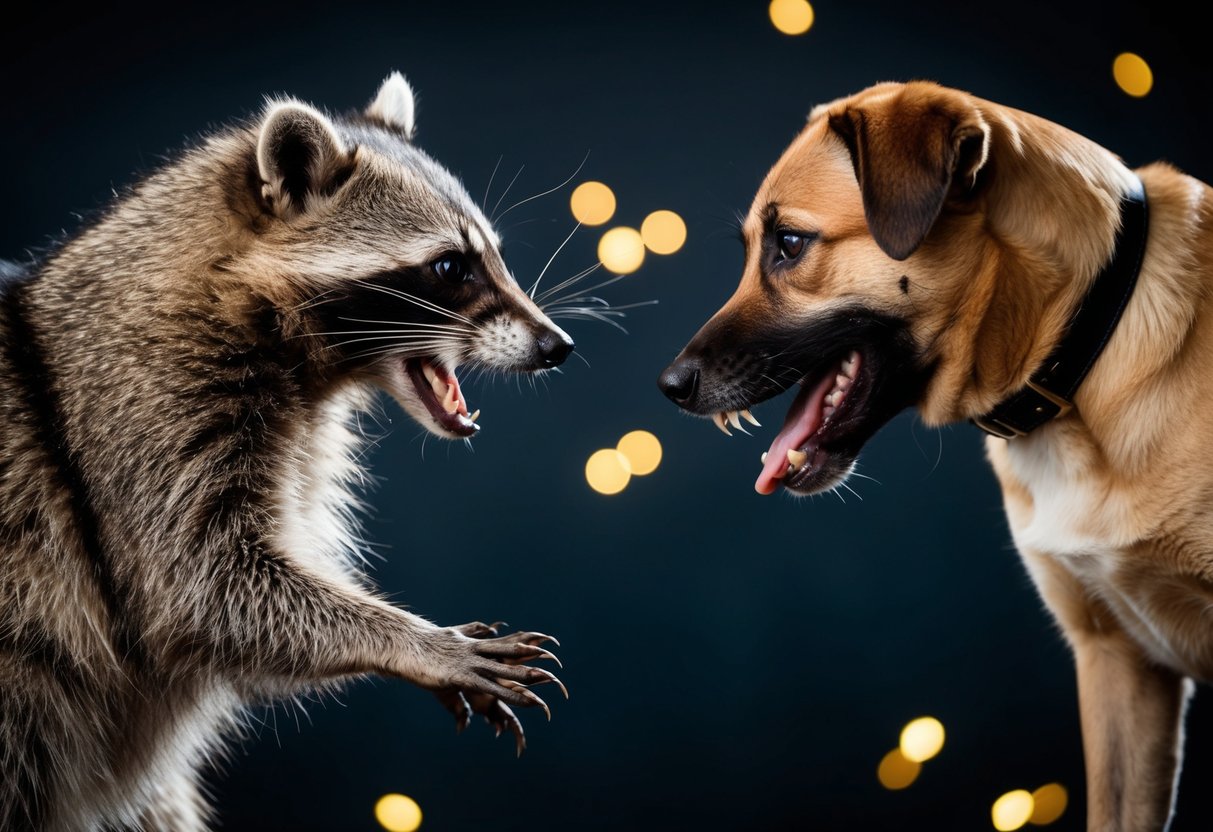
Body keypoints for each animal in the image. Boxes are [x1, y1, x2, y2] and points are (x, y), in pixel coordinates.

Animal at [0, 73, 573, 831]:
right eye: (450, 266)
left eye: (494, 257)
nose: (558, 346)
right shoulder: (143, 414)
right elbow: (200, 587)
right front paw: (412, 640)